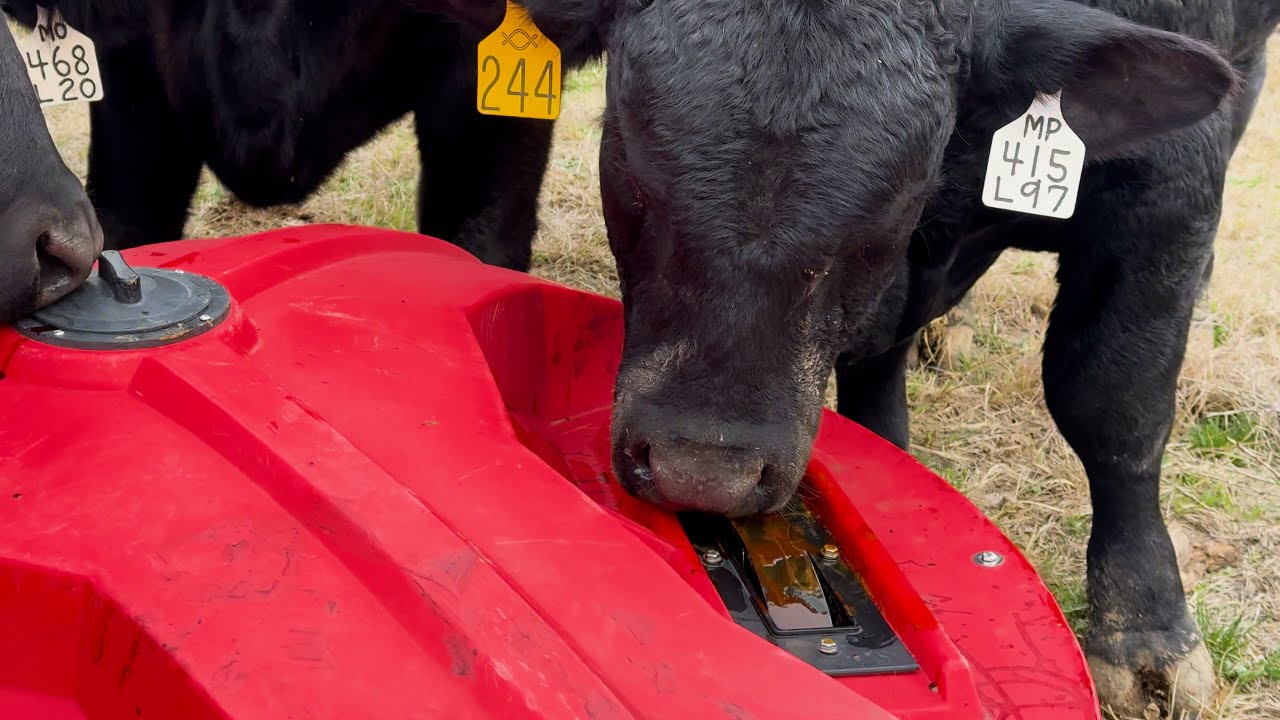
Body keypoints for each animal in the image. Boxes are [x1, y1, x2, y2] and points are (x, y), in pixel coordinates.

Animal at [504, 0, 1273, 717]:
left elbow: (1113, 404)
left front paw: (1149, 635)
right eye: (631, 173)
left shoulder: (1171, 180)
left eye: (888, 216)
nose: (702, 472)